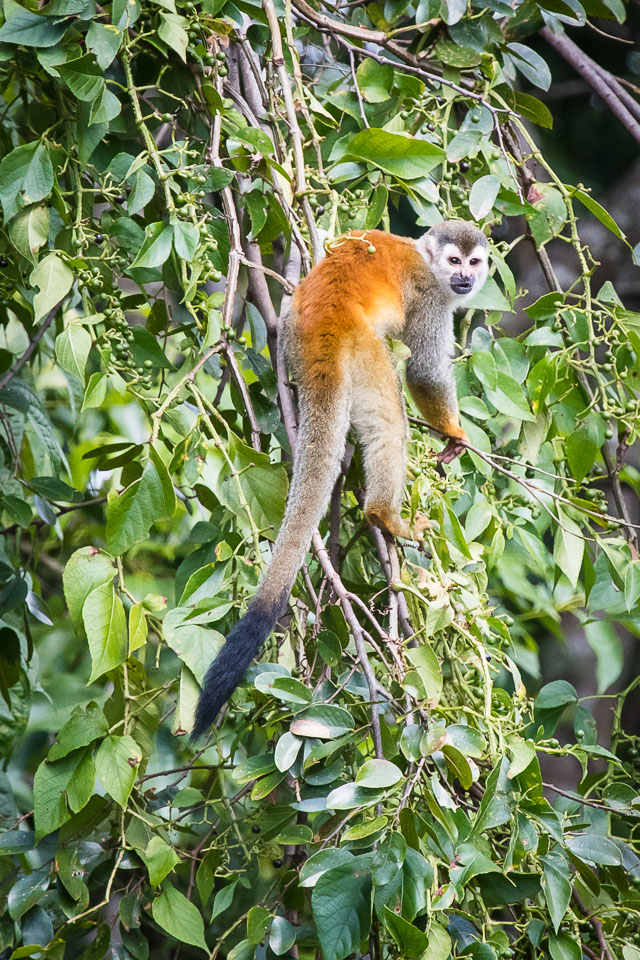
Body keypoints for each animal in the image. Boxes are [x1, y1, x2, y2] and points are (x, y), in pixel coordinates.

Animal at [192, 223, 488, 736]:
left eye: (475, 262)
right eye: (455, 262)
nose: (466, 280)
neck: (426, 260)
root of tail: (323, 320)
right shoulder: (432, 298)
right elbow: (423, 371)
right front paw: (453, 430)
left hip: (291, 335)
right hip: (363, 349)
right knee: (390, 419)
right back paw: (384, 514)